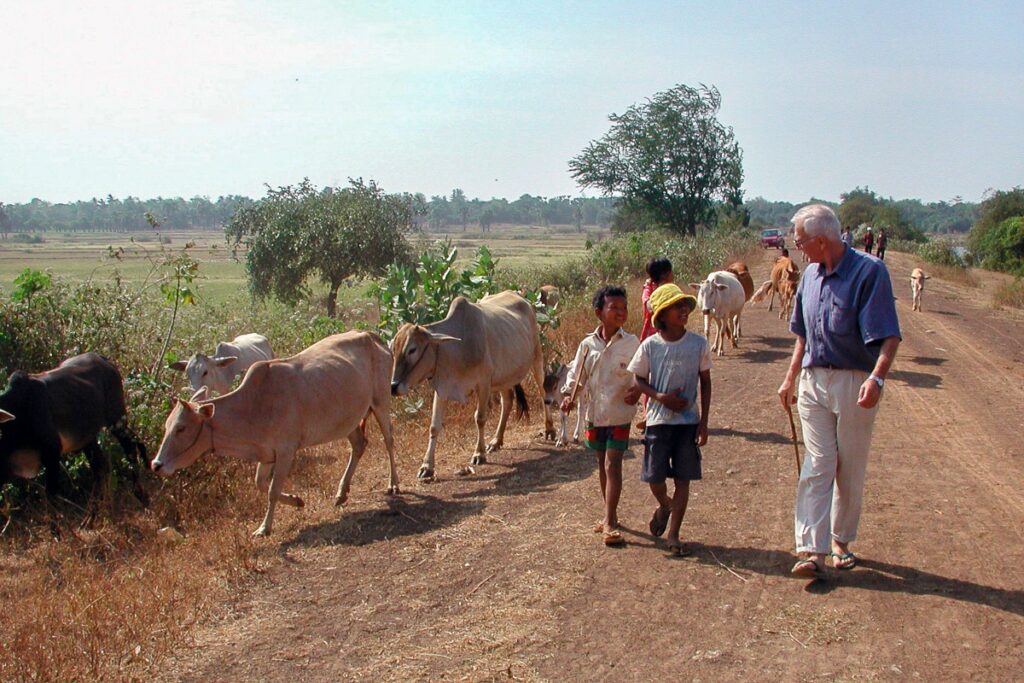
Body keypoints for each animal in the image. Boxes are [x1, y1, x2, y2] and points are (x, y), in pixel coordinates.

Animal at [0, 356, 149, 509]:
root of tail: (103, 359)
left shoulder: (52, 454)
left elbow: (51, 496)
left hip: (116, 420)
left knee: (130, 448)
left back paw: (141, 495)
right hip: (89, 438)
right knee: (101, 466)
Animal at [151, 331, 399, 540]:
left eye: (181, 428)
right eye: (167, 426)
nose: (156, 464)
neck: (253, 406)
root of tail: (371, 336)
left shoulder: (286, 451)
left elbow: (271, 490)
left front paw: (264, 527)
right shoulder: (266, 454)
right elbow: (261, 484)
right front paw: (297, 501)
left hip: (381, 401)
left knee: (389, 440)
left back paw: (394, 484)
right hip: (349, 421)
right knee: (359, 445)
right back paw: (341, 493)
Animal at [389, 290, 552, 479]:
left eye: (412, 349)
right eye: (393, 349)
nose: (393, 386)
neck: (455, 348)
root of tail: (520, 297)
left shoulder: (483, 383)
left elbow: (479, 418)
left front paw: (478, 454)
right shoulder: (443, 387)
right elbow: (434, 426)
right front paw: (426, 466)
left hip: (536, 358)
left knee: (542, 391)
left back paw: (550, 429)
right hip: (503, 377)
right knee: (507, 401)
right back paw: (496, 441)